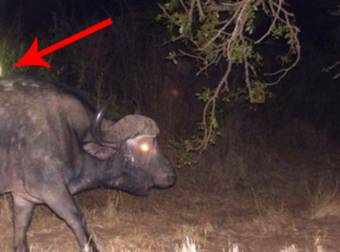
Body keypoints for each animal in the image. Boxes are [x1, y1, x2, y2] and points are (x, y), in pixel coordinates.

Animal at [0, 78, 175, 251]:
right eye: (145, 146)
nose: (171, 175)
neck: (70, 133)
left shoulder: (24, 198)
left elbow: (21, 229)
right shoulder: (50, 189)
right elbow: (77, 218)